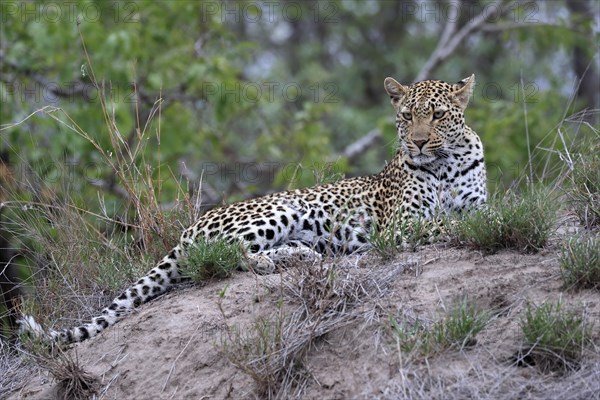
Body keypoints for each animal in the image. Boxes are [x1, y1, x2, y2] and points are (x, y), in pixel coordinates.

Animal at [18, 74, 488, 344]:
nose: (419, 142)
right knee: (226, 254)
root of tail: (188, 228)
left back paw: (301, 255)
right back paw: (283, 258)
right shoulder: (400, 224)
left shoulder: (472, 202)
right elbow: (439, 226)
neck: (443, 164)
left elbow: (475, 215)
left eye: (437, 115)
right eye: (407, 117)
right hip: (280, 208)